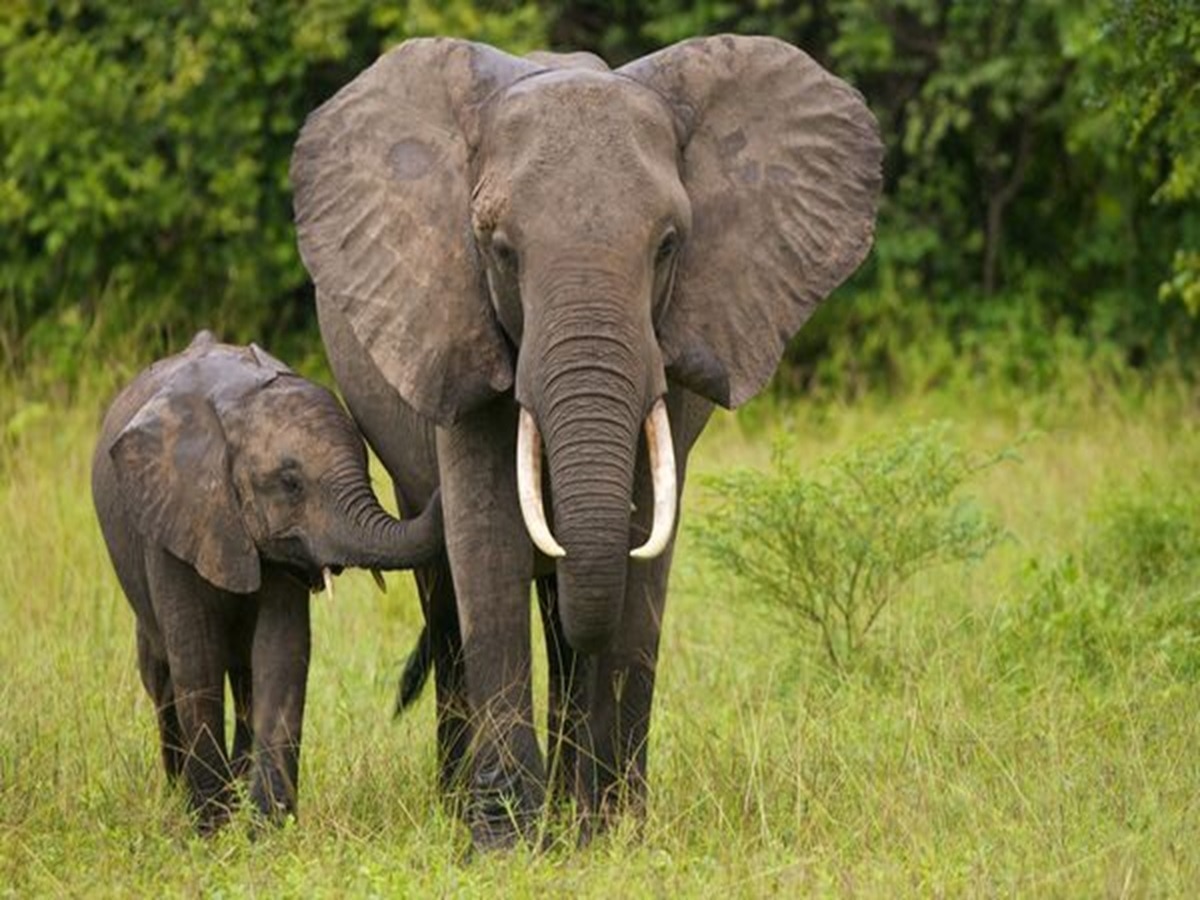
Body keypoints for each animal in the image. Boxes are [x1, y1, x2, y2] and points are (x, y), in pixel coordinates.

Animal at [91, 331, 441, 830]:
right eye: (290, 483)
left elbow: (282, 651)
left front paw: (267, 830)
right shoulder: (173, 517)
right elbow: (196, 656)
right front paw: (210, 829)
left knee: (245, 680)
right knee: (161, 676)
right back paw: (180, 795)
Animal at [292, 37, 883, 854]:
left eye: (667, 246)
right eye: (500, 250)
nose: (593, 817)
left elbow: (640, 563)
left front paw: (617, 834)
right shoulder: (454, 320)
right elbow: (487, 552)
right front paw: (504, 846)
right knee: (449, 597)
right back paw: (464, 803)